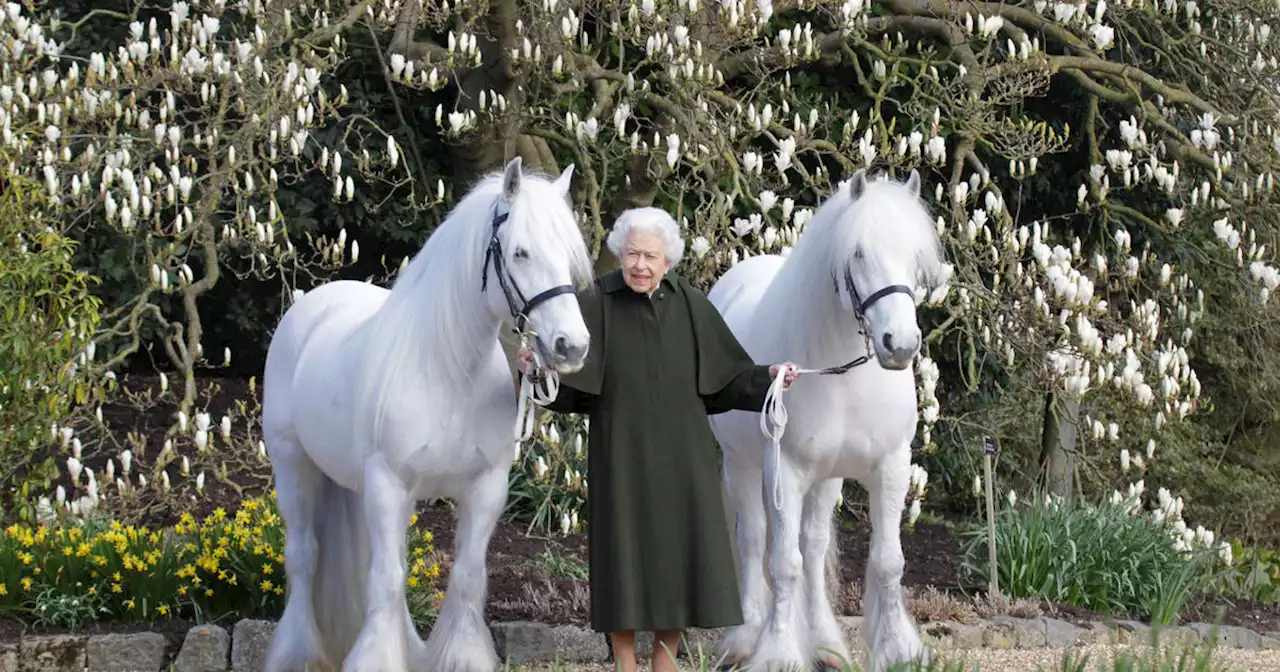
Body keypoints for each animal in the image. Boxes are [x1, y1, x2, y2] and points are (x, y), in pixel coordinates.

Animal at [261, 158, 599, 670]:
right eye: (520, 252)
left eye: (567, 255)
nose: (572, 346)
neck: (447, 372)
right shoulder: (388, 484)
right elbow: (387, 579)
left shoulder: (485, 489)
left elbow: (465, 576)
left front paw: (460, 657)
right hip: (293, 465)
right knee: (303, 555)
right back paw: (296, 654)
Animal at [706, 168, 947, 670]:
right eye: (858, 253)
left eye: (915, 257)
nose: (900, 344)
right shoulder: (786, 470)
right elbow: (783, 564)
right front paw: (778, 653)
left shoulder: (890, 467)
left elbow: (887, 561)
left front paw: (898, 649)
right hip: (742, 465)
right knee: (755, 539)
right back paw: (745, 638)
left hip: (826, 478)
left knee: (814, 547)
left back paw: (825, 644)